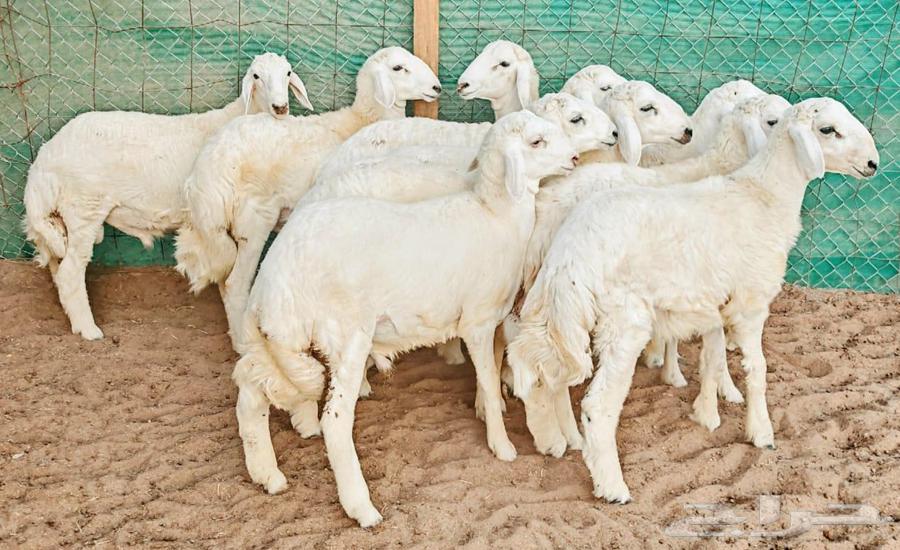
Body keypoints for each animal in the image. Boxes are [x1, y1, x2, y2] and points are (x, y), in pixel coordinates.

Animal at [22, 52, 311, 340]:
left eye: (288, 73)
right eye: (256, 76)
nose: (280, 108)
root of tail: (44, 159)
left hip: (62, 219)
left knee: (58, 267)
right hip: (84, 207)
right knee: (70, 272)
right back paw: (89, 330)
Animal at [173, 47, 441, 344]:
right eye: (397, 68)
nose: (437, 87)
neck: (362, 121)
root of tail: (206, 174)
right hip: (254, 219)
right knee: (235, 285)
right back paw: (245, 342)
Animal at [232, 111, 579, 527]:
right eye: (536, 142)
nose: (576, 158)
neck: (496, 215)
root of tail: (275, 272)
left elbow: (491, 372)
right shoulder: (477, 320)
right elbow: (489, 380)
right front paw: (501, 444)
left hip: (284, 333)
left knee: (251, 398)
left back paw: (266, 474)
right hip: (345, 336)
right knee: (335, 420)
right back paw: (361, 507)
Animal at [506, 97, 878, 503]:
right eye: (828, 130)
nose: (874, 163)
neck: (763, 196)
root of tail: (570, 253)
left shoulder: (712, 301)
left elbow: (713, 356)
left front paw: (707, 412)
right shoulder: (751, 303)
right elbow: (758, 369)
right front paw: (760, 432)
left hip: (554, 309)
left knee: (539, 368)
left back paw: (552, 437)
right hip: (623, 321)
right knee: (596, 405)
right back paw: (611, 484)